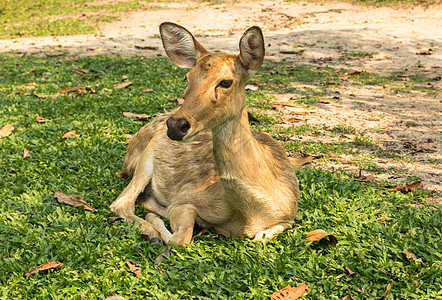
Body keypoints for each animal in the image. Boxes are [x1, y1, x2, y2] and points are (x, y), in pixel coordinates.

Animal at [109, 22, 298, 245]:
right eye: (187, 77)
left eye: (226, 82)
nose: (175, 125)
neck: (251, 215)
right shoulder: (187, 199)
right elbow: (180, 238)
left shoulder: (289, 216)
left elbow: (261, 237)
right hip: (145, 158)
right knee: (122, 202)